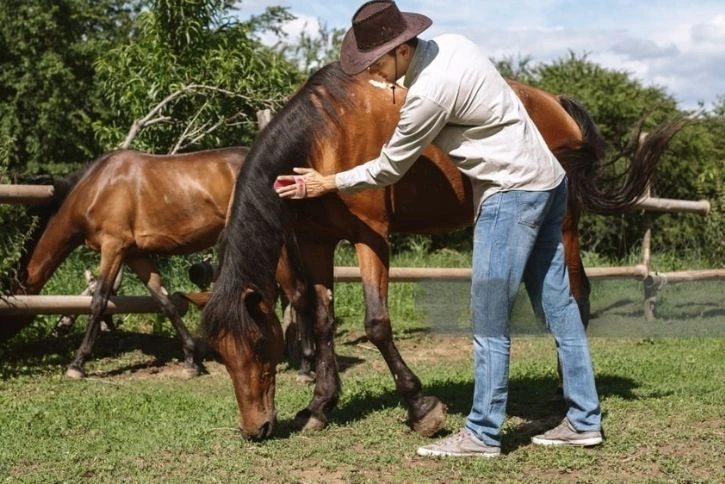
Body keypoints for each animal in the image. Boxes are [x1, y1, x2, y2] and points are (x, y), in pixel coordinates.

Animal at [0, 146, 247, 380]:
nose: (4, 352)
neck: (96, 189)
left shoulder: (113, 247)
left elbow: (98, 301)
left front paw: (77, 364)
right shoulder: (134, 255)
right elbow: (164, 301)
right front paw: (190, 359)